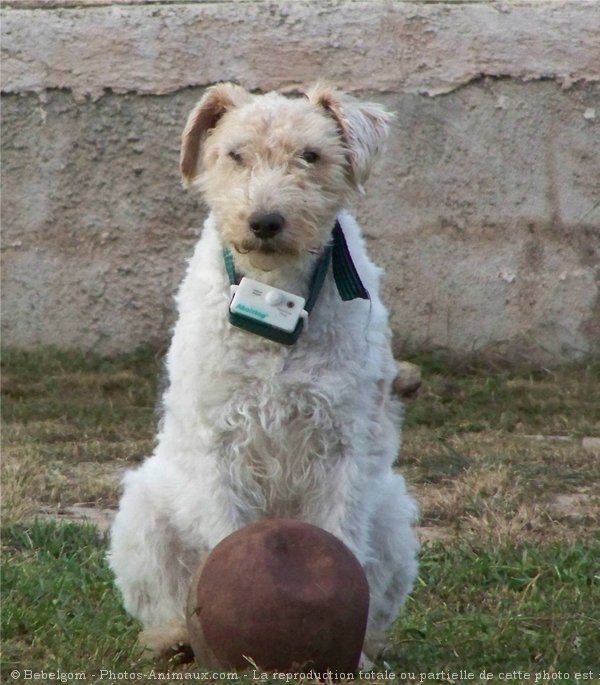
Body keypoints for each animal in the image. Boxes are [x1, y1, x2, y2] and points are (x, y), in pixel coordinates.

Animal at [108, 81, 418, 664]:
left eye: (311, 155)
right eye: (235, 154)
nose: (265, 222)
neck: (275, 294)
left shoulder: (343, 441)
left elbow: (341, 535)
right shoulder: (219, 441)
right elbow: (224, 532)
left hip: (391, 515)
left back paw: (365, 649)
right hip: (144, 512)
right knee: (163, 596)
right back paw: (173, 638)